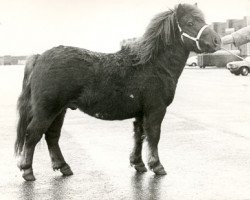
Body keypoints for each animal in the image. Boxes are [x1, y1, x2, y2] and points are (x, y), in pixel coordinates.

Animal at [15, 3, 221, 181]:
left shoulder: (141, 113)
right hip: (47, 110)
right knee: (32, 134)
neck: (153, 65)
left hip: (60, 110)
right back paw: (27, 171)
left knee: (52, 136)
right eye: (190, 23)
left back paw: (63, 167)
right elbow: (154, 135)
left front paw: (138, 164)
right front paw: (157, 165)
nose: (217, 40)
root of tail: (40, 57)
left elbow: (139, 136)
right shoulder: (156, 110)